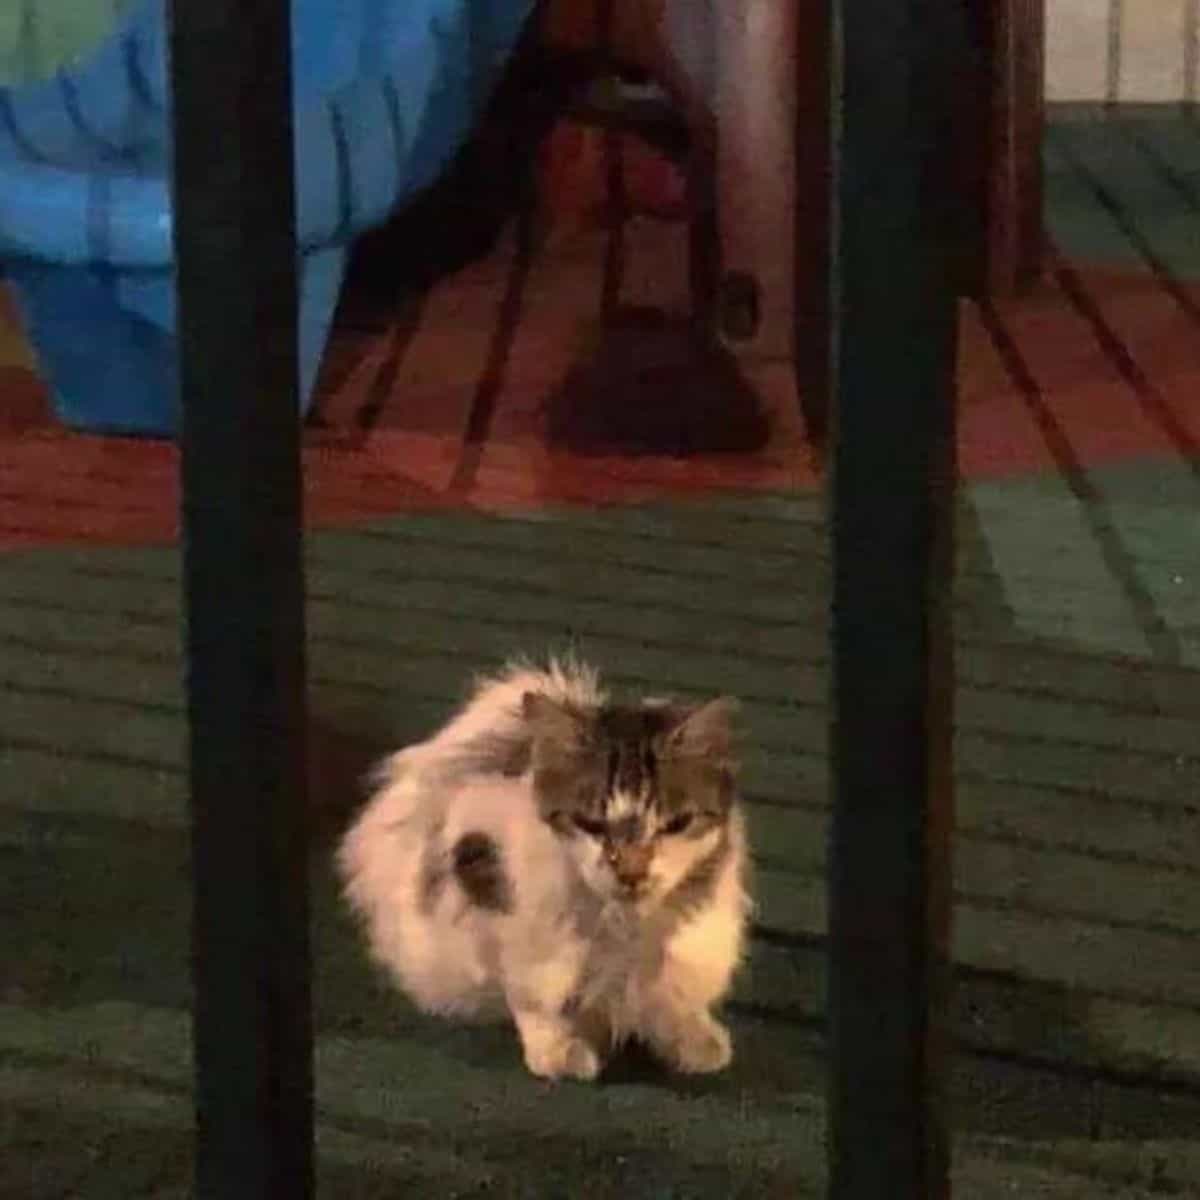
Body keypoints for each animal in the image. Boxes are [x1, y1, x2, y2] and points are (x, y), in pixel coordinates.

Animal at [338, 662, 748, 1084]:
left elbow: (670, 991)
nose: (631, 871)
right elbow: (532, 993)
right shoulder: (491, 891)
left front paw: (693, 1039)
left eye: (676, 824)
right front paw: (557, 1052)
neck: (625, 926)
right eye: (590, 824)